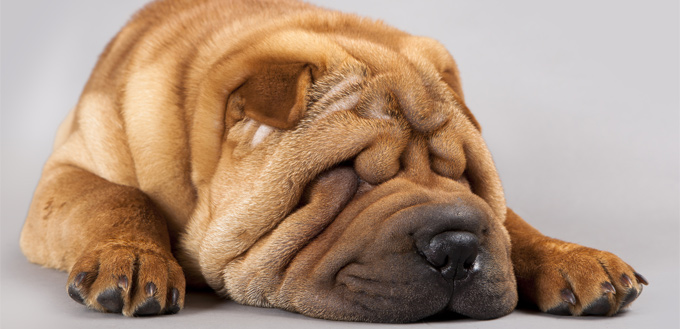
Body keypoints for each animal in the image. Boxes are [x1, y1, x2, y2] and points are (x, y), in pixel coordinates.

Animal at [22, 0, 648, 322]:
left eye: (467, 178)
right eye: (342, 177)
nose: (458, 247)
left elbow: (512, 224)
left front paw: (574, 258)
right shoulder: (68, 172)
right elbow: (117, 196)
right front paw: (133, 258)